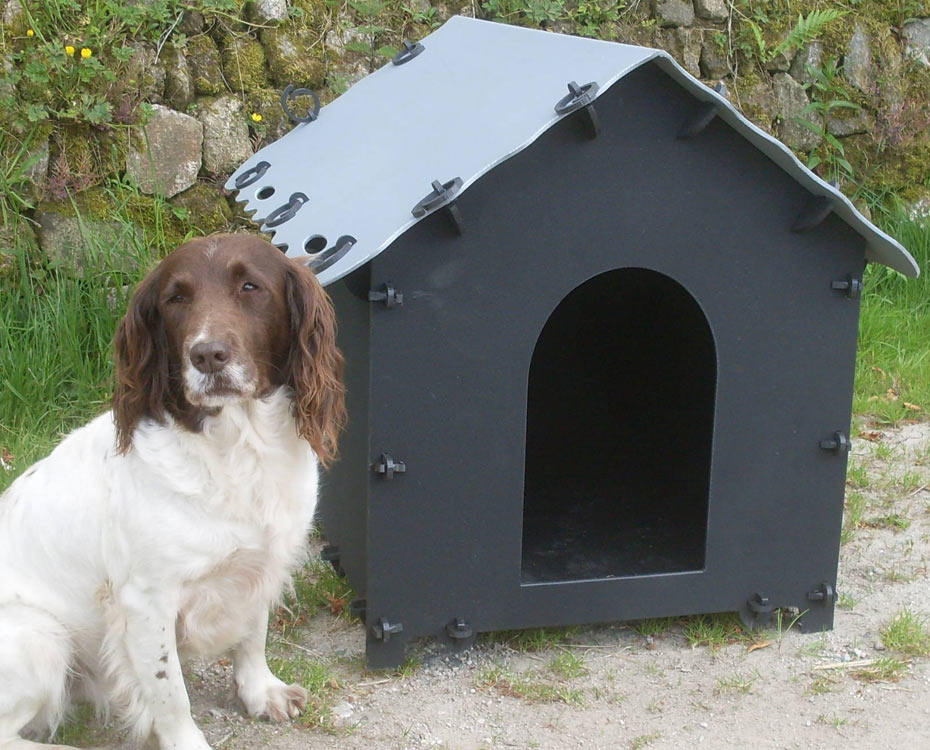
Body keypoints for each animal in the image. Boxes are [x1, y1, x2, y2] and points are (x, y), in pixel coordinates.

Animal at [0, 232, 346, 748]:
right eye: (175, 299)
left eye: (250, 286)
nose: (208, 355)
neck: (237, 450)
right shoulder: (145, 601)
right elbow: (170, 693)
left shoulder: (259, 562)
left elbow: (253, 633)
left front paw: (261, 692)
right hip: (40, 637)